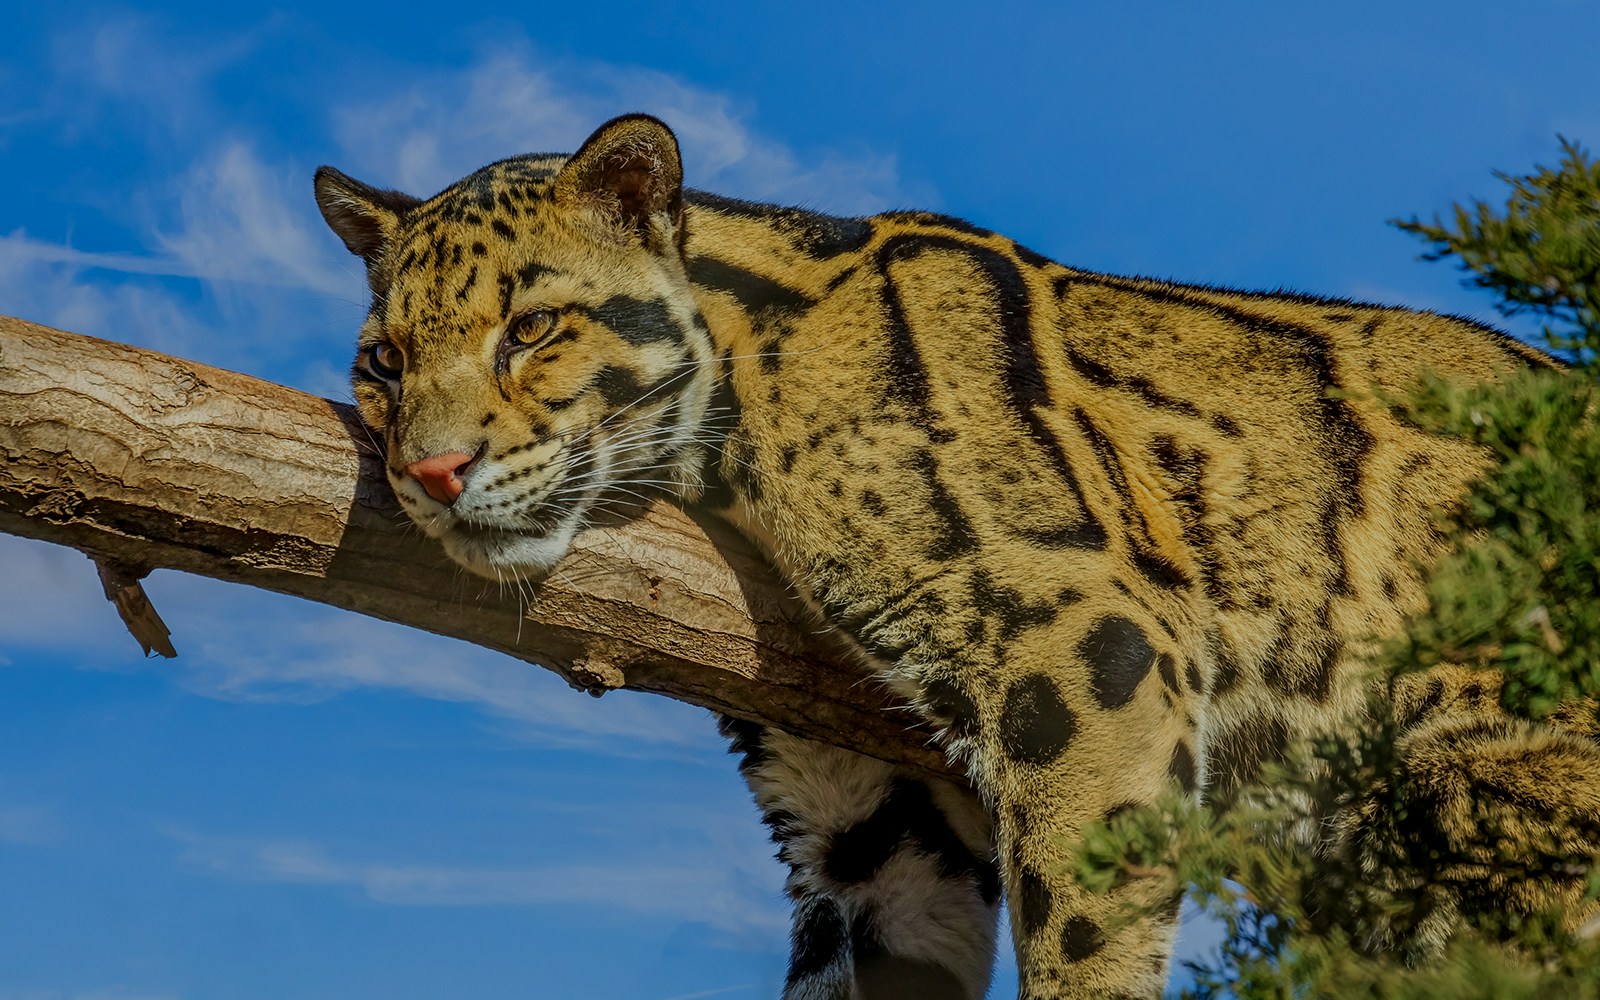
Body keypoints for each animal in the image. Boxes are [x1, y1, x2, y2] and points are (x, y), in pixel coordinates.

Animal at [313, 114, 1600, 998]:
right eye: (381, 363)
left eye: (530, 328)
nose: (430, 471)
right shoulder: (875, 813)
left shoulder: (1087, 634)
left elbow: (1083, 921)